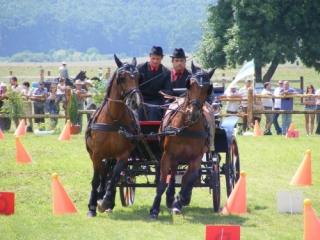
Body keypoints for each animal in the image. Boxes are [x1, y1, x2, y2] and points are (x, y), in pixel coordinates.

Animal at [86, 54, 144, 218]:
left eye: (138, 76)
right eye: (121, 77)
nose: (135, 100)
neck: (114, 119)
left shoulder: (123, 155)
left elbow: (115, 177)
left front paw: (106, 201)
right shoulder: (97, 154)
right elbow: (96, 179)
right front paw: (92, 207)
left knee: (108, 174)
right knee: (102, 174)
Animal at [149, 62, 214, 219]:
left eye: (208, 88)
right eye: (190, 84)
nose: (193, 113)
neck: (186, 128)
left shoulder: (196, 157)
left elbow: (189, 179)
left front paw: (180, 201)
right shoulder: (167, 155)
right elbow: (162, 182)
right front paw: (154, 209)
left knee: (187, 177)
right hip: (175, 157)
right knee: (173, 174)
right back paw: (170, 196)